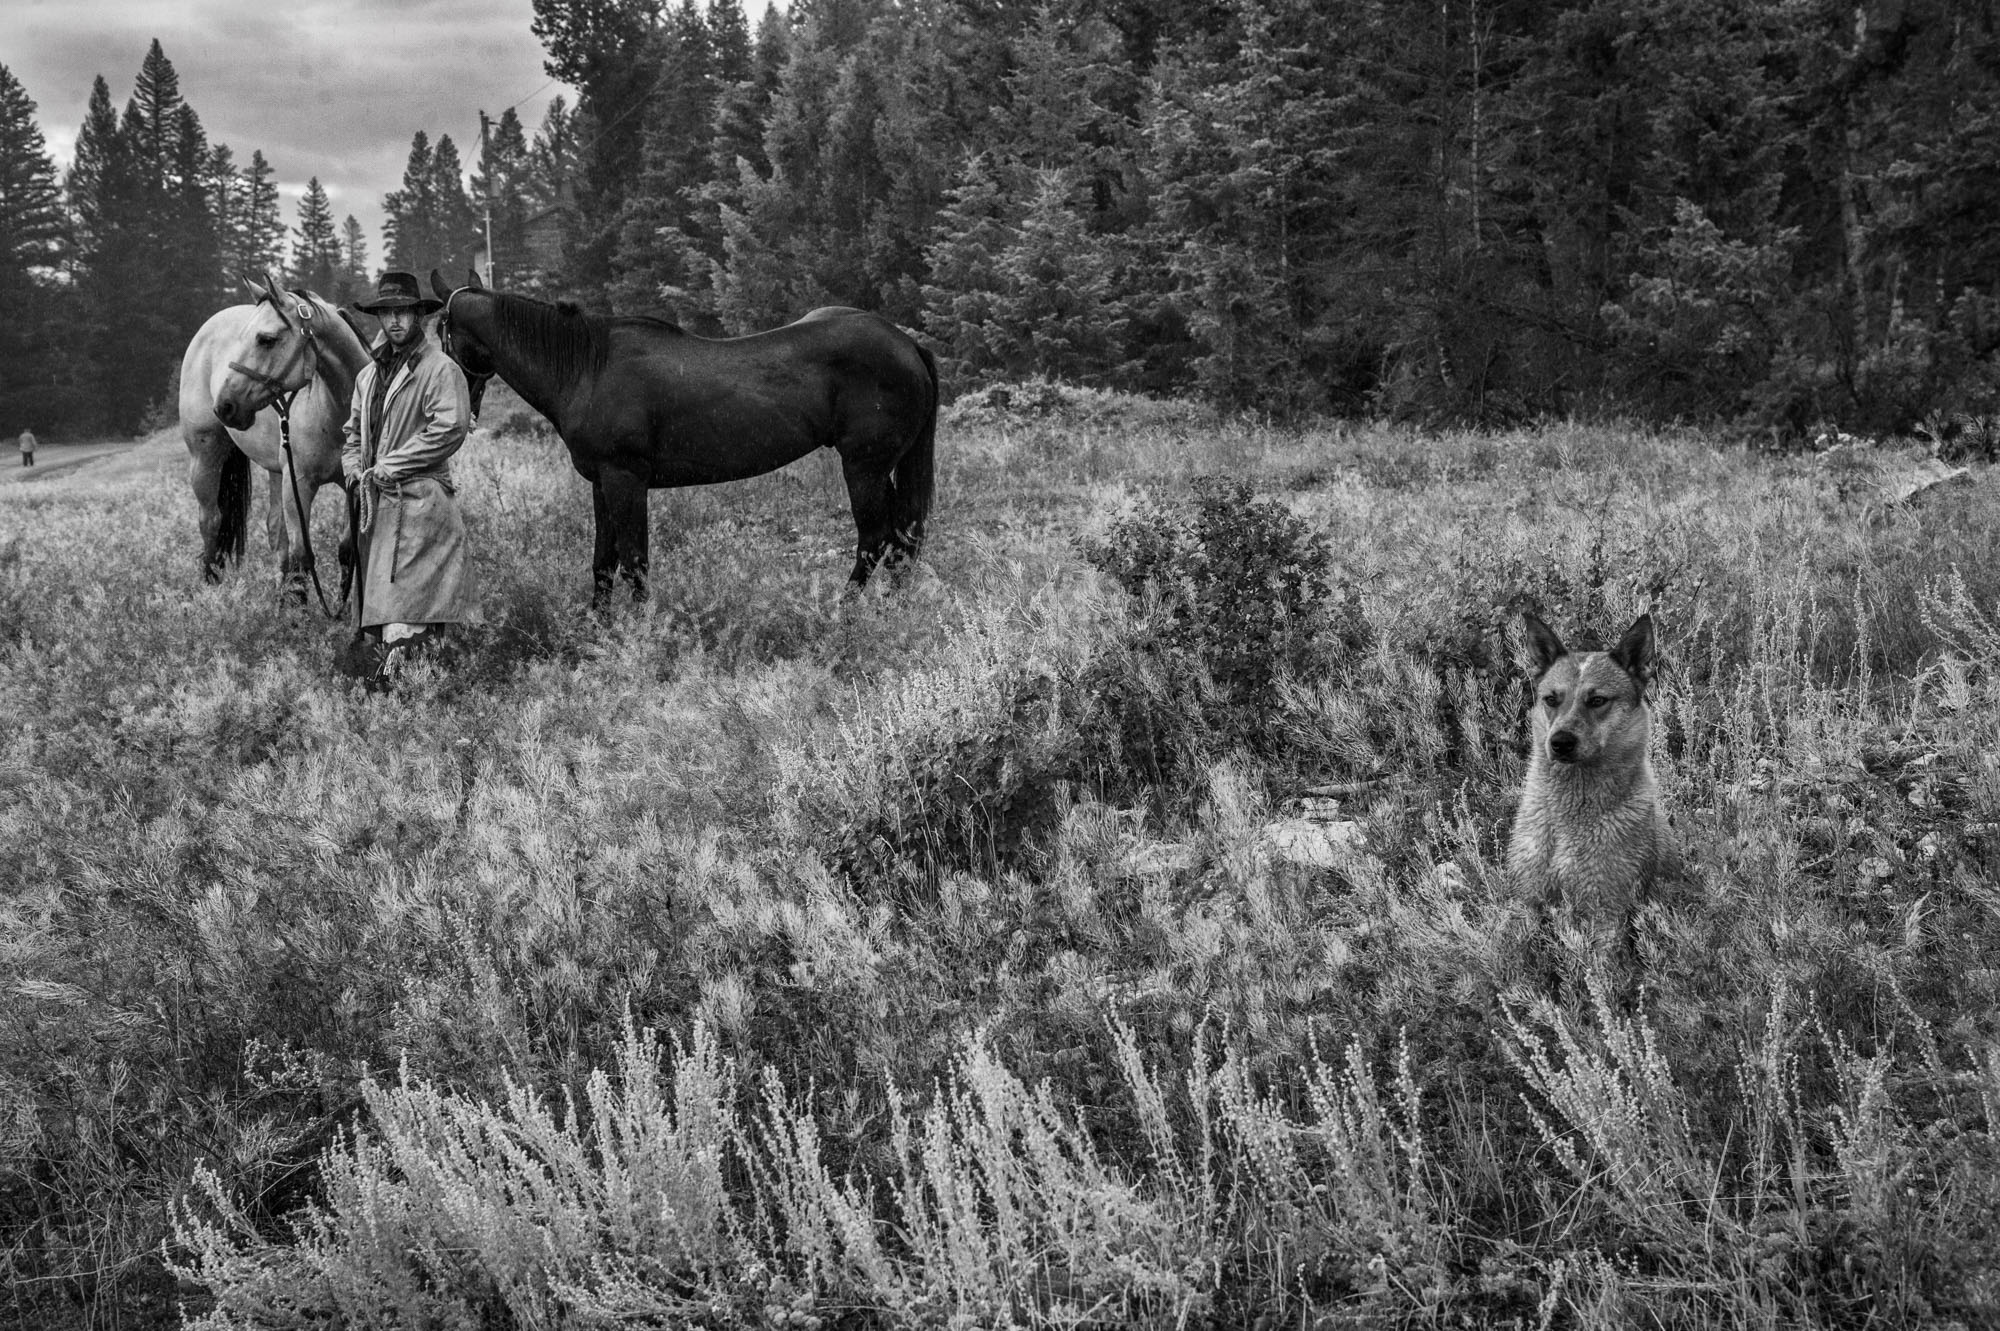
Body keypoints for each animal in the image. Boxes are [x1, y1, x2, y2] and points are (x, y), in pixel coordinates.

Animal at [177, 273, 372, 599]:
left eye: (266, 339)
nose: (225, 406)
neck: (335, 413)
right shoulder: (299, 484)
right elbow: (301, 554)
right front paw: (299, 604)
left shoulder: (351, 486)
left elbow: (346, 551)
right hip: (205, 456)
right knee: (211, 521)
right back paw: (211, 586)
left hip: (276, 469)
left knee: (274, 530)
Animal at [428, 269, 936, 599]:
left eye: (441, 330)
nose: (460, 405)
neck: (587, 368)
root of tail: (906, 343)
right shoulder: (602, 483)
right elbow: (603, 565)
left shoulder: (626, 480)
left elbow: (634, 564)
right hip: (881, 469)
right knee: (901, 541)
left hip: (864, 467)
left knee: (876, 541)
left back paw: (845, 612)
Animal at [1512, 607, 1672, 971]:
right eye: (1551, 699)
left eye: (1597, 700)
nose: (1559, 742)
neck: (1568, 815)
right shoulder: (1528, 898)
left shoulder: (1606, 911)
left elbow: (1602, 975)